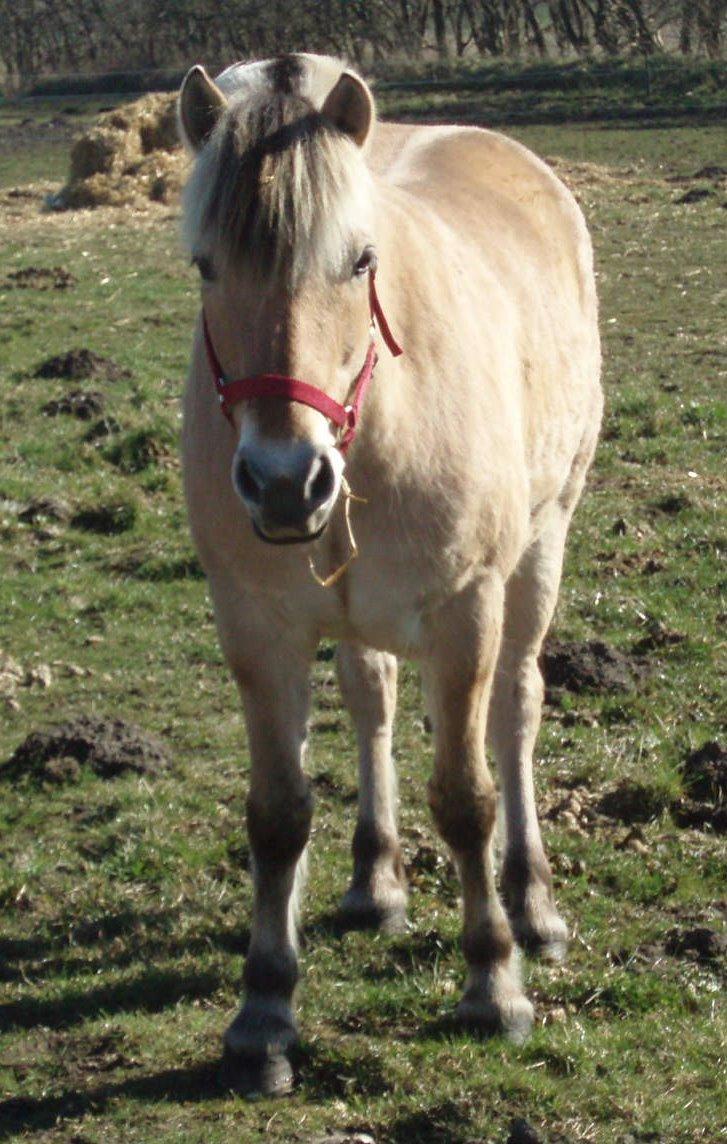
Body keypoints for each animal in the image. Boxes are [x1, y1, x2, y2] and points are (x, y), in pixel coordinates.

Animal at [176, 49, 604, 1093]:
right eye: (207, 265)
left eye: (360, 262)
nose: (285, 481)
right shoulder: (257, 626)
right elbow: (277, 813)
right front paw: (264, 1012)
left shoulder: (466, 611)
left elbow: (465, 797)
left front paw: (493, 983)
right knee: (370, 697)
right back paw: (375, 882)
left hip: (541, 551)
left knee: (516, 712)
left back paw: (533, 905)